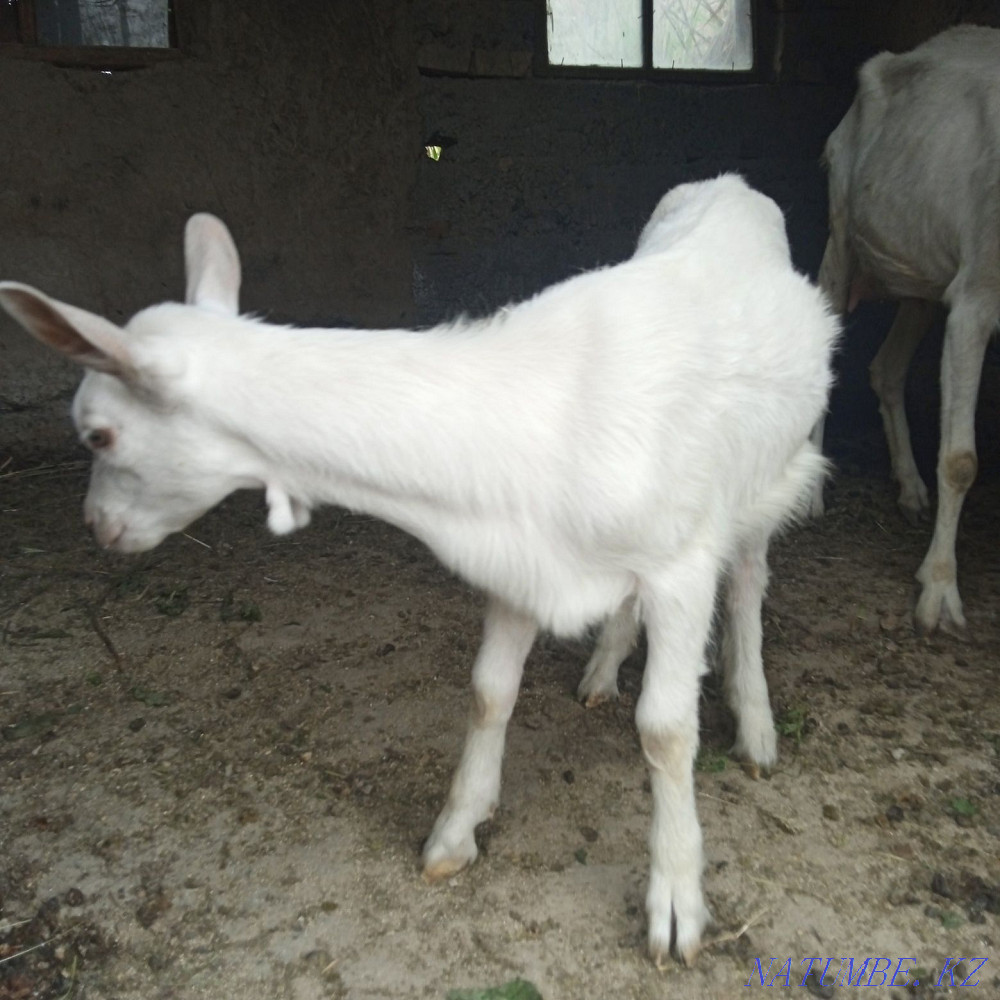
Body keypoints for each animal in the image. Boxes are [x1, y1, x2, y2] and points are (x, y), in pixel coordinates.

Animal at [0, 174, 837, 966]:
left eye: (99, 434)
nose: (96, 525)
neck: (541, 412)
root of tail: (729, 185)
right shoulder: (524, 557)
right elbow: (490, 692)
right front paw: (454, 833)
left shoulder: (681, 567)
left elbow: (665, 729)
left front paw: (675, 902)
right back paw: (602, 672)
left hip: (773, 469)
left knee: (750, 582)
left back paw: (756, 727)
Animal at [810, 25, 1000, 633]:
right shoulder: (976, 295)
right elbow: (961, 460)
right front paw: (939, 593)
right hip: (842, 233)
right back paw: (813, 492)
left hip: (920, 274)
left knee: (886, 367)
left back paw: (911, 489)